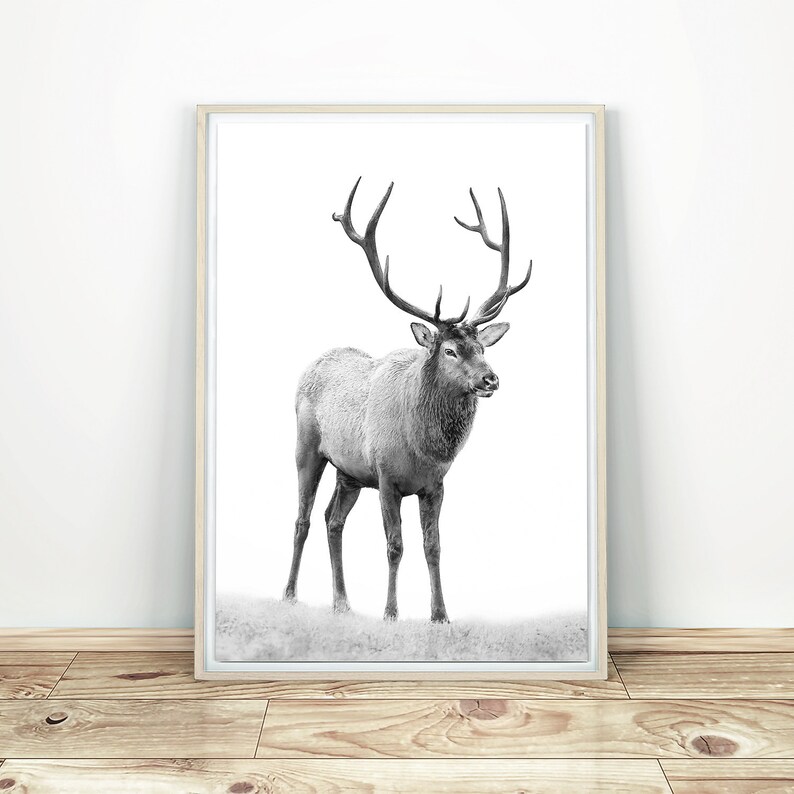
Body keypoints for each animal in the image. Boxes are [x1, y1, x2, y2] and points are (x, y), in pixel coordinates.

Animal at [283, 178, 533, 623]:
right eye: (449, 350)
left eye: (481, 348)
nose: (491, 379)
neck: (424, 448)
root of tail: (313, 363)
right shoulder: (386, 476)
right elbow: (394, 546)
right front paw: (391, 612)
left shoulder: (435, 485)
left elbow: (433, 546)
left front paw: (440, 614)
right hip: (307, 448)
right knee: (303, 519)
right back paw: (291, 594)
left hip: (349, 473)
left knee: (332, 520)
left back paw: (342, 602)